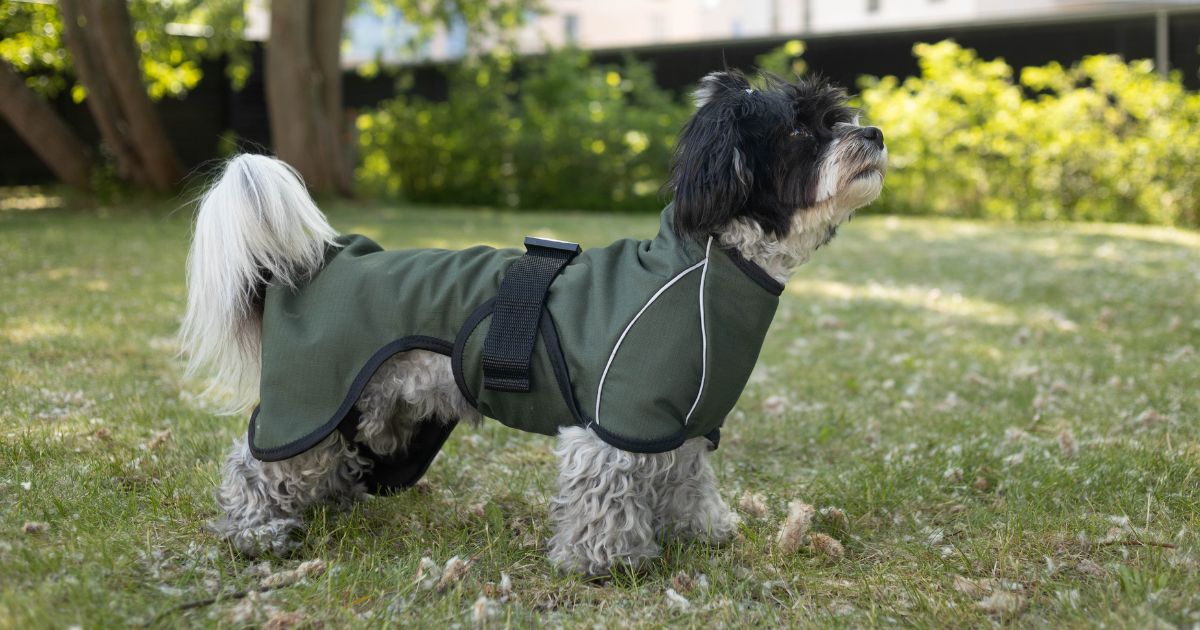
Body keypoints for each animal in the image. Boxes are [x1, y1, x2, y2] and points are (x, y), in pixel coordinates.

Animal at [182, 69, 888, 573]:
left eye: (839, 117)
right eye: (800, 133)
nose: (875, 134)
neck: (707, 265)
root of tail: (316, 264)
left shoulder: (682, 423)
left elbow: (689, 480)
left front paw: (703, 531)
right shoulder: (616, 420)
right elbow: (608, 495)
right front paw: (607, 561)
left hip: (371, 409)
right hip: (310, 402)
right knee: (255, 462)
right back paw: (256, 531)